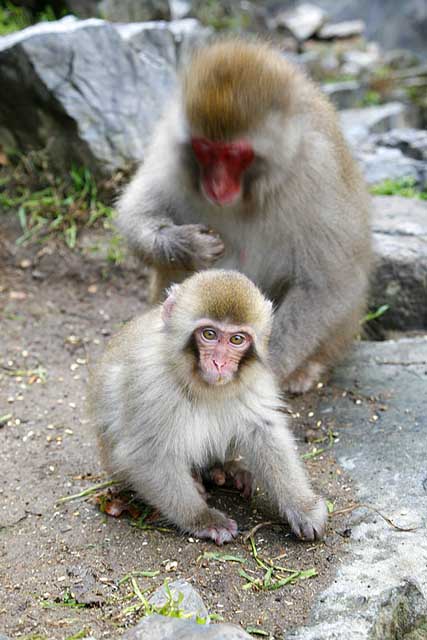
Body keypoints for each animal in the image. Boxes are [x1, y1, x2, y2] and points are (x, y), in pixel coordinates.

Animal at [91, 270, 328, 544]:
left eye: (237, 339)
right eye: (209, 334)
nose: (219, 363)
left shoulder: (254, 380)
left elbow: (264, 431)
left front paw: (303, 506)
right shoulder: (149, 381)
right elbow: (145, 452)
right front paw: (203, 519)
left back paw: (222, 470)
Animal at [117, 40, 372, 392]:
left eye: (234, 154)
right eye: (204, 149)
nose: (215, 185)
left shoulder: (318, 168)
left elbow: (327, 283)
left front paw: (266, 371)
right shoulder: (169, 142)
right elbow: (135, 211)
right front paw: (186, 244)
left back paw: (310, 367)